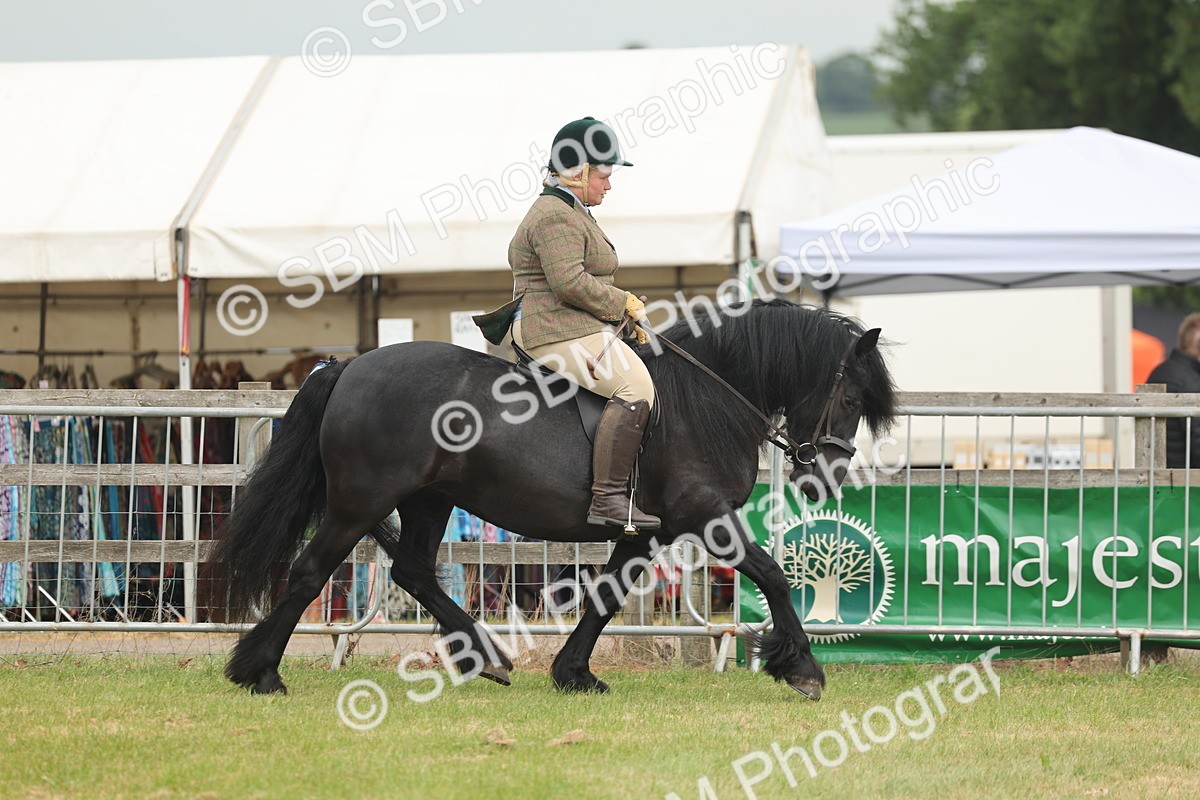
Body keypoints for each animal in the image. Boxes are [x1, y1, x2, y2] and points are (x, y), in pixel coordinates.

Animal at [212, 298, 896, 700]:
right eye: (850, 399)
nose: (825, 479)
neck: (706, 401)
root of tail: (347, 367)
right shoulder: (706, 517)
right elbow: (774, 575)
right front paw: (802, 668)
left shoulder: (644, 530)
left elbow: (605, 598)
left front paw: (575, 672)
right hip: (361, 501)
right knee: (309, 571)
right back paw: (261, 672)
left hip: (429, 500)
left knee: (413, 571)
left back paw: (486, 657)